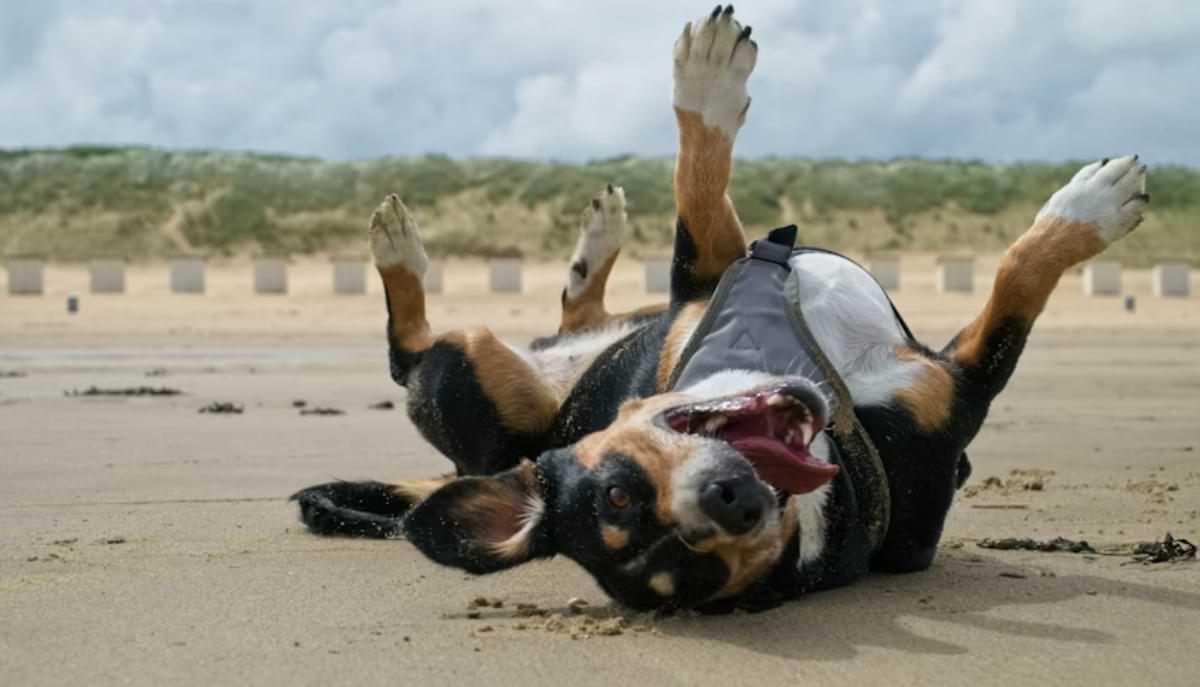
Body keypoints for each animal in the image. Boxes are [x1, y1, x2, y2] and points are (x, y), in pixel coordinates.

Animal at [293, 5, 1149, 613]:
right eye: (712, 568)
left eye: (617, 487)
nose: (729, 502)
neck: (823, 384)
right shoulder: (956, 381)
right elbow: (1016, 284)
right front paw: (1094, 208)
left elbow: (698, 178)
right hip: (458, 368)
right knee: (406, 349)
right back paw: (400, 248)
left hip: (525, 353)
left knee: (572, 312)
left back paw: (591, 244)